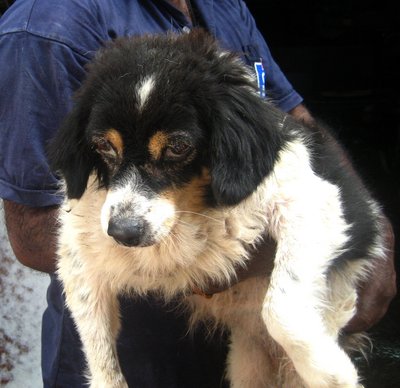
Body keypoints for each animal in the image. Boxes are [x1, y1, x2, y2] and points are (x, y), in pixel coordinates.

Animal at [49, 31, 388, 388]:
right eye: (102, 145)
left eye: (178, 146)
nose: (123, 233)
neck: (192, 211)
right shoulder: (78, 254)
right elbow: (102, 356)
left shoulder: (312, 200)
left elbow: (280, 307)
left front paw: (329, 371)